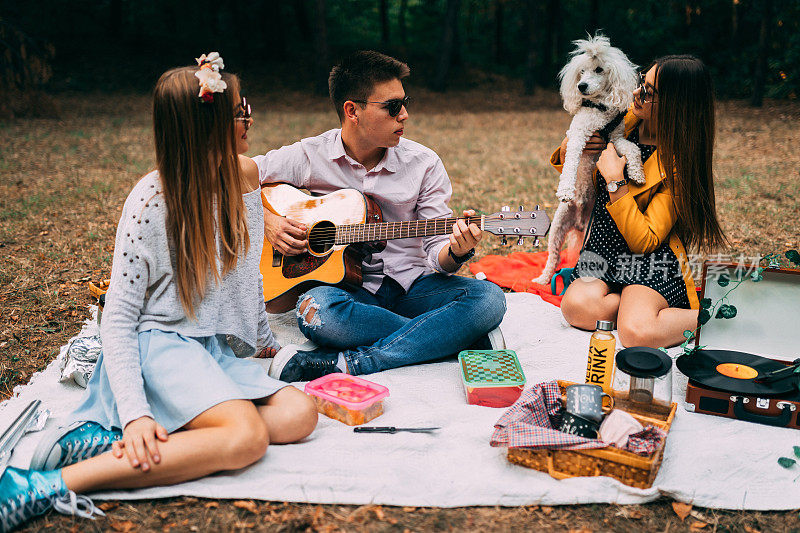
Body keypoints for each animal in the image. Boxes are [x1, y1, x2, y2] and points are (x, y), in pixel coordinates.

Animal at [532, 34, 644, 286]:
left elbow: (633, 149)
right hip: (557, 227)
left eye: (599, 69)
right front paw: (565, 189)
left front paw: (637, 173)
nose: (581, 86)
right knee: (553, 258)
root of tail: (580, 222)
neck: (599, 109)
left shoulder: (616, 139)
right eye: (581, 71)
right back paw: (543, 280)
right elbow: (571, 162)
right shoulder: (578, 136)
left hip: (590, 232)